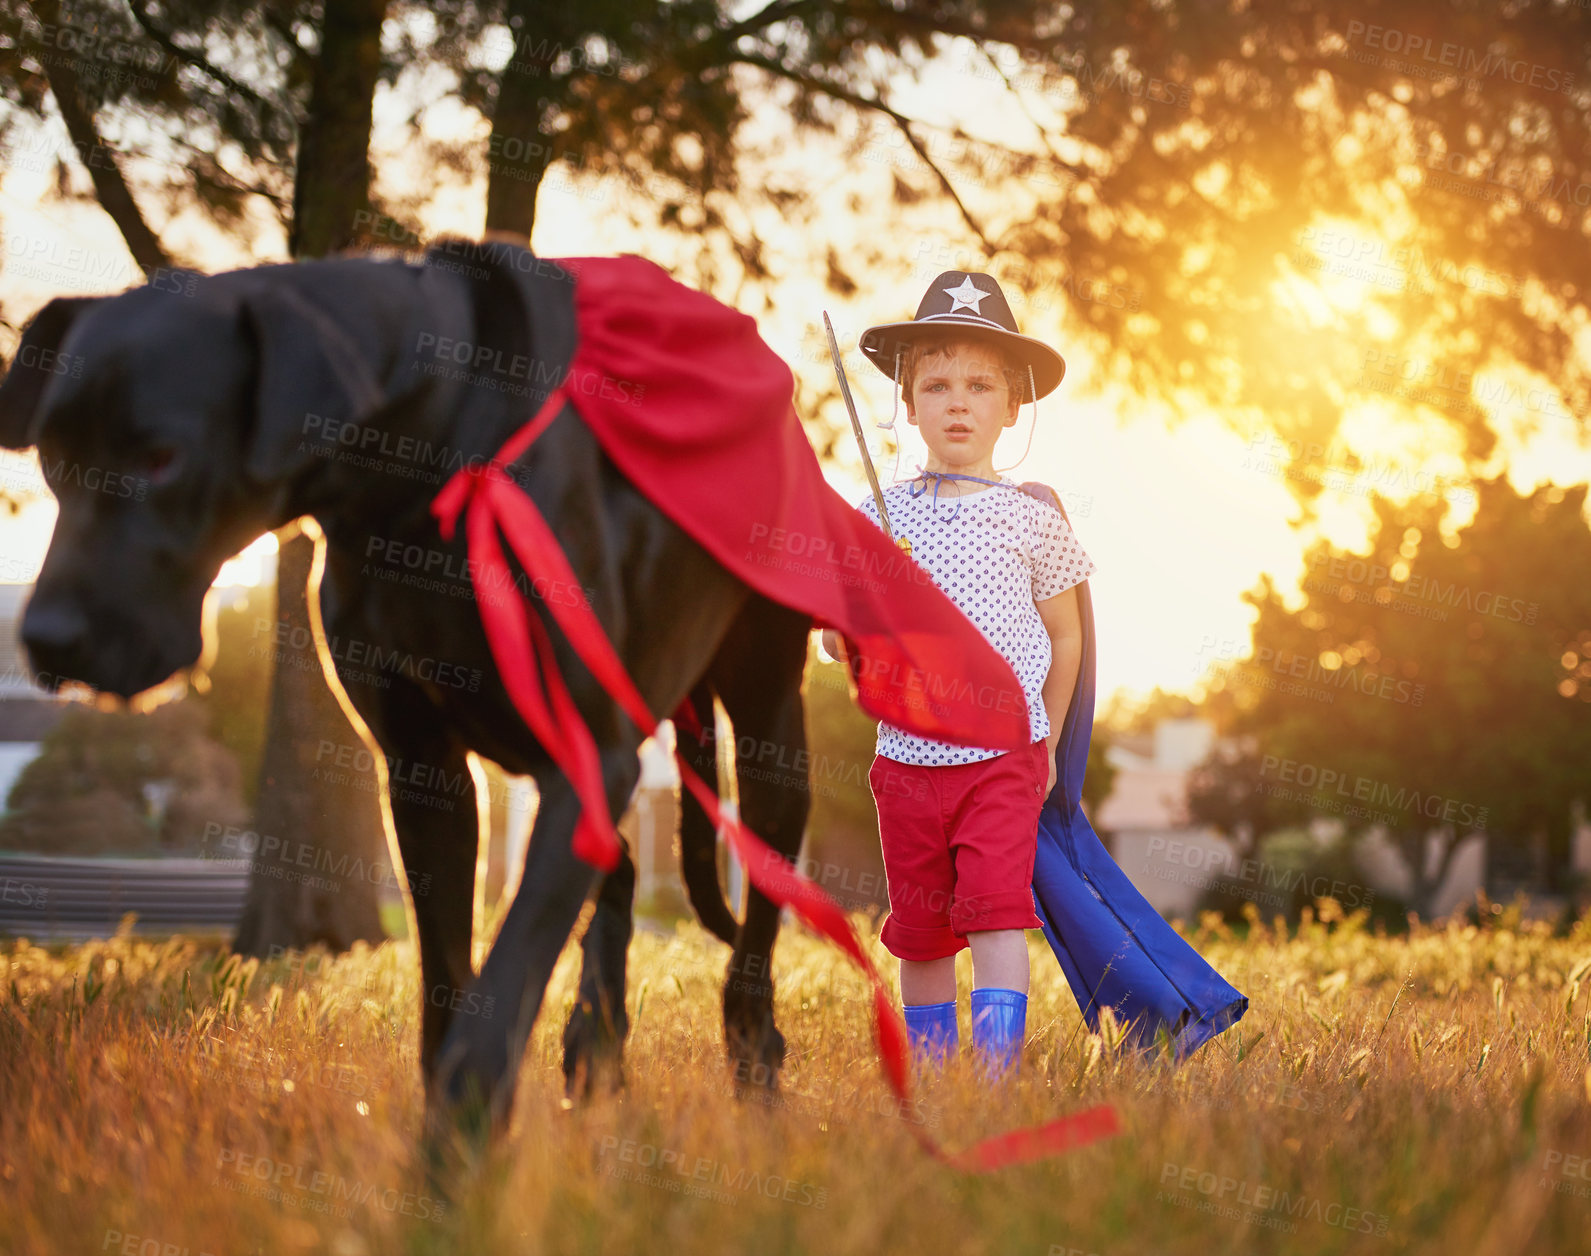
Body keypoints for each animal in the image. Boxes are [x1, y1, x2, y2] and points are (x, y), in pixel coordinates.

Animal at [3, 241, 808, 1139]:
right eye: (49, 457)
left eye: (161, 458)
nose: (47, 639)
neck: (429, 448)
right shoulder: (427, 773)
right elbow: (447, 986)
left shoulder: (585, 757)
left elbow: (509, 969)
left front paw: (458, 1147)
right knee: (625, 867)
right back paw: (595, 1043)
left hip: (769, 736)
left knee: (753, 925)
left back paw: (755, 1062)